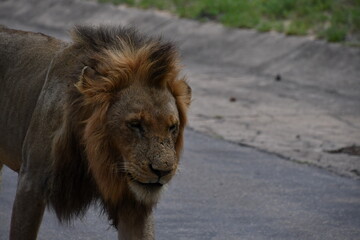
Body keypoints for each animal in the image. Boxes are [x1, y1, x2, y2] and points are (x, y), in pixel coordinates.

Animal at [0, 25, 191, 239]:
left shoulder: (132, 202)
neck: (100, 155)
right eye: (135, 124)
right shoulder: (31, 182)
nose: (162, 171)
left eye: (172, 127)